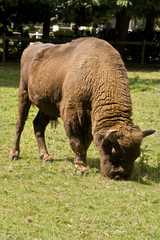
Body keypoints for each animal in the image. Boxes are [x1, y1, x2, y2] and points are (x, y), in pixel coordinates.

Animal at [10, 37, 155, 180]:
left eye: (136, 154)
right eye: (114, 153)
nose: (120, 175)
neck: (97, 71)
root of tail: (31, 46)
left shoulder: (90, 122)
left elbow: (86, 143)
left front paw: (83, 164)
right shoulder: (72, 117)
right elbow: (77, 142)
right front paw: (80, 168)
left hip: (47, 105)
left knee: (38, 125)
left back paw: (46, 157)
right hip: (23, 93)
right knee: (20, 124)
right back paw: (14, 154)